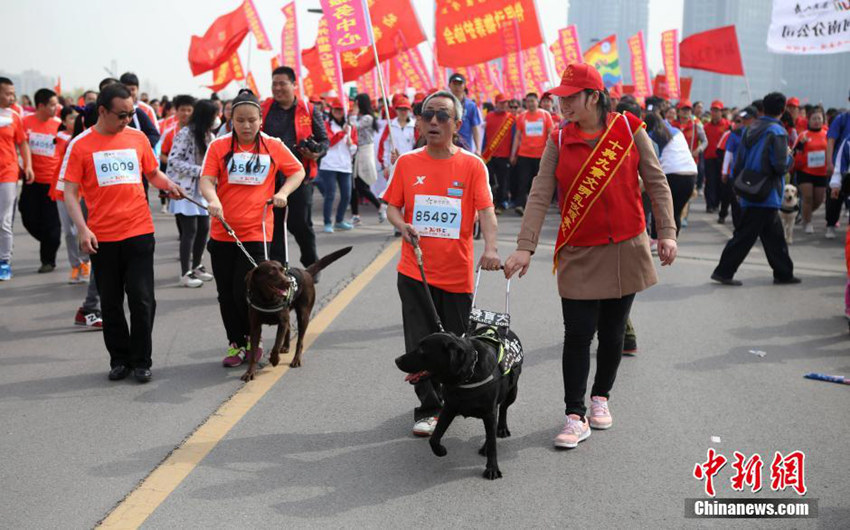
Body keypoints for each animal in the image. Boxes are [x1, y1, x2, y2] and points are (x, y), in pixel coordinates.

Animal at [394, 328, 520, 476]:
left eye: (422, 350)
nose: (396, 360)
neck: (468, 376)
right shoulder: (449, 407)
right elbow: (434, 437)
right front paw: (440, 450)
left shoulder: (489, 412)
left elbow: (493, 445)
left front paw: (492, 468)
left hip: (512, 392)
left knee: (504, 409)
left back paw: (501, 429)